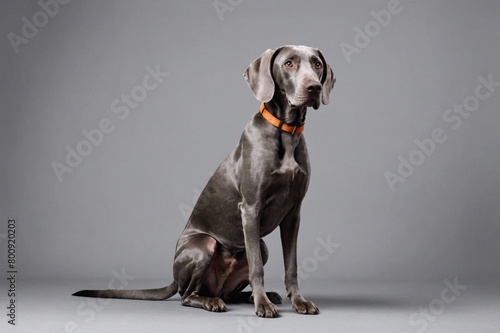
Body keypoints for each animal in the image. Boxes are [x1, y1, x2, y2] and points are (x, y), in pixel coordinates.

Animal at [74, 44, 336, 316]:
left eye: (317, 64)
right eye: (288, 64)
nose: (314, 88)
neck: (286, 130)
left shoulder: (293, 214)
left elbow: (291, 266)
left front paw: (299, 301)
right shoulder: (251, 208)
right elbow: (256, 268)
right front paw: (262, 305)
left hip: (261, 247)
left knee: (228, 292)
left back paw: (257, 296)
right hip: (204, 245)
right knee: (187, 295)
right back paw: (214, 301)